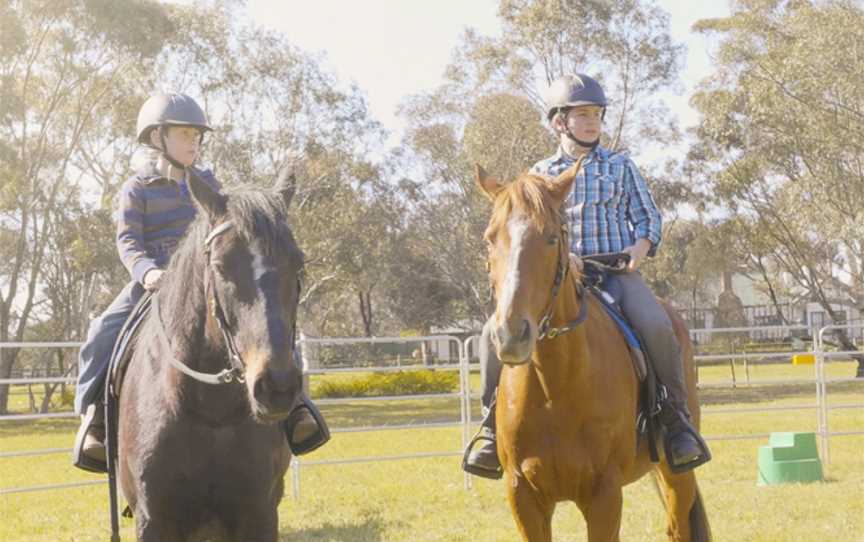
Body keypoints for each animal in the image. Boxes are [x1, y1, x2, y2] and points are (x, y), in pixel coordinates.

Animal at [115, 171, 304, 542]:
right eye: (220, 265)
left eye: (298, 263)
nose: (276, 386)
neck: (210, 414)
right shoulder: (153, 520)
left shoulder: (260, 516)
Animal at [476, 163, 712, 542]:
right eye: (490, 238)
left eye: (551, 237)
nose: (512, 334)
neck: (554, 387)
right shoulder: (523, 494)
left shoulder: (604, 493)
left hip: (678, 473)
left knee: (679, 528)